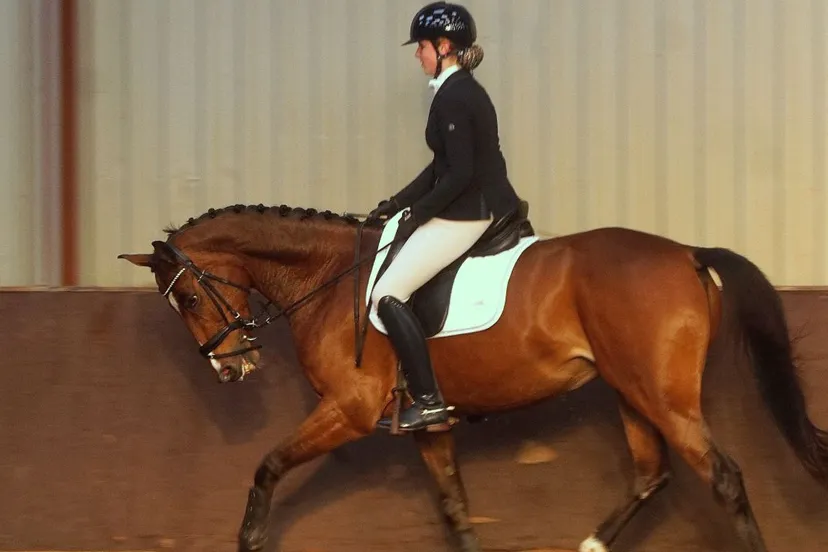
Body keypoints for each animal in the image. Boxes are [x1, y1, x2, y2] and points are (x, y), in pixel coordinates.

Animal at [118, 201, 828, 552]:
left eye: (188, 298)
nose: (230, 366)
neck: (329, 279)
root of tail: (685, 253)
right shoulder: (428, 428)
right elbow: (456, 513)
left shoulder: (348, 410)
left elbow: (266, 466)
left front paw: (250, 539)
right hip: (632, 393)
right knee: (651, 475)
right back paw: (590, 544)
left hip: (662, 396)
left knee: (725, 478)